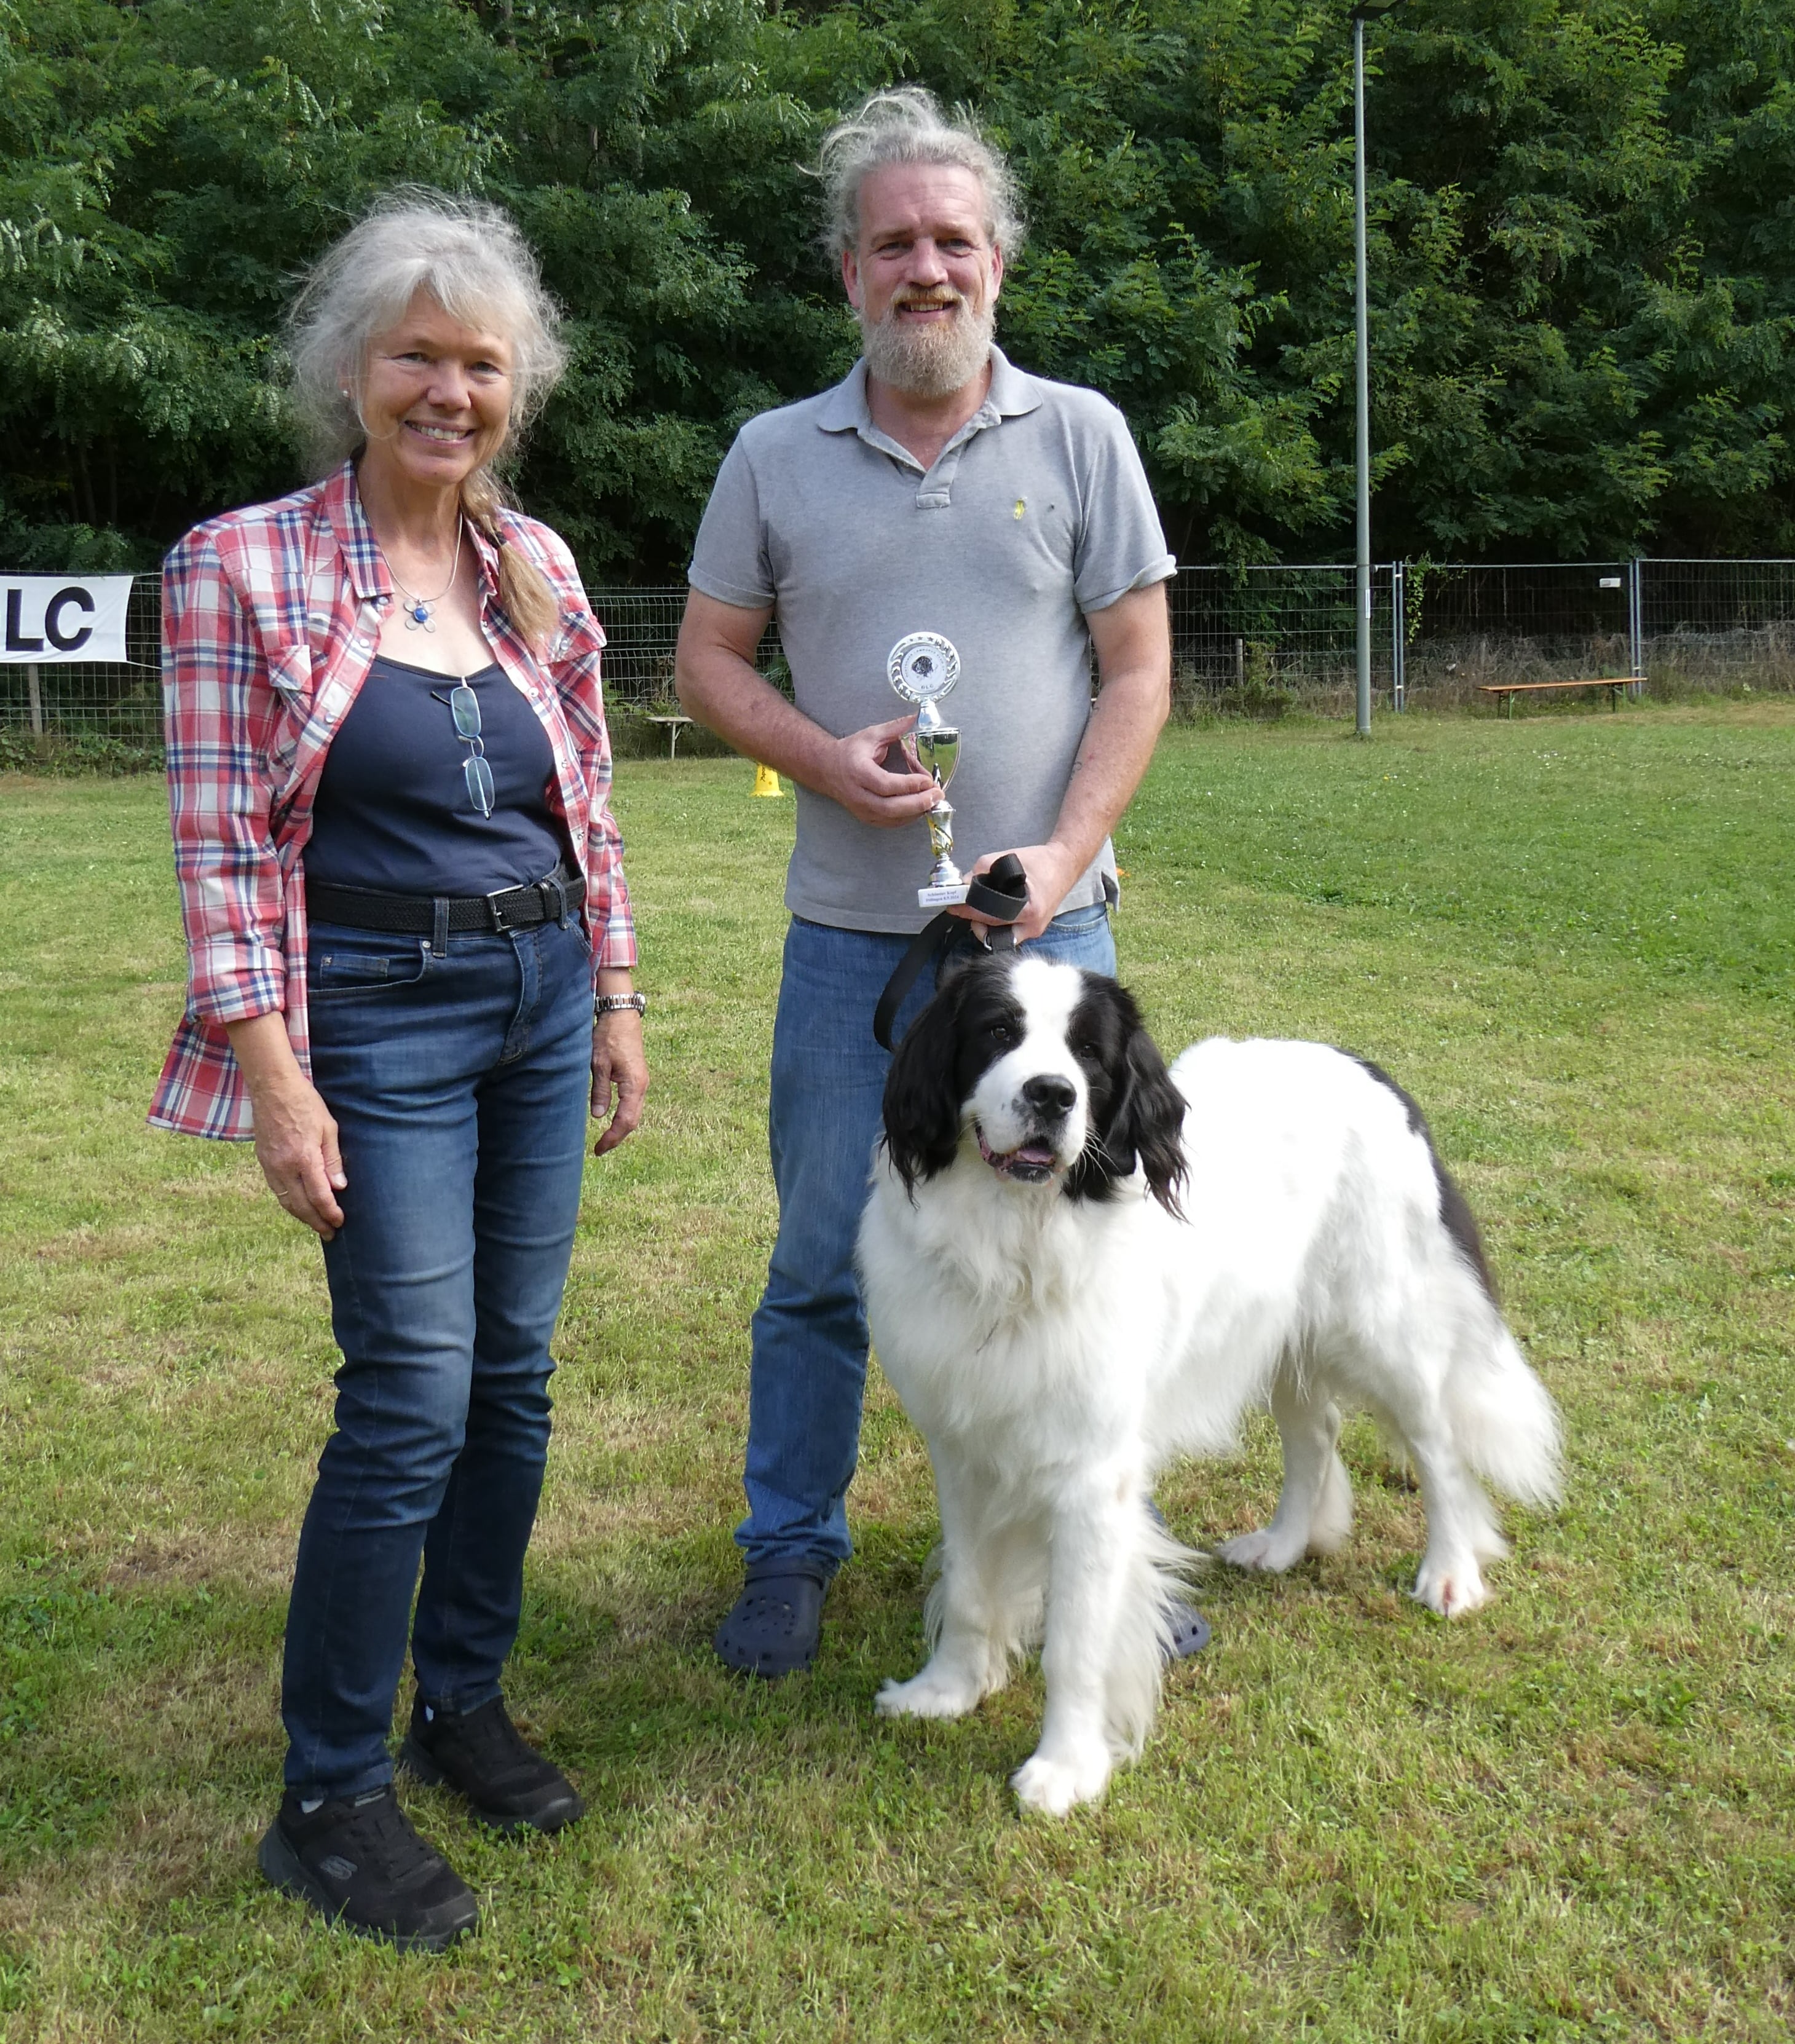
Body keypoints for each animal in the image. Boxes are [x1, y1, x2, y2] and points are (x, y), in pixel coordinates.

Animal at [858, 948, 1561, 1815]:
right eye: (997, 1032)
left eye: (1088, 1053)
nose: (1052, 1094)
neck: (1016, 1243)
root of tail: (1373, 1073)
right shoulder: (963, 1448)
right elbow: (965, 1585)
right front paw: (947, 1690)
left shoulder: (1091, 1476)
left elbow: (1078, 1639)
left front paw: (1066, 1767)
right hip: (1283, 1330)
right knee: (1317, 1433)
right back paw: (1283, 1545)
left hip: (1384, 1328)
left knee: (1440, 1449)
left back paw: (1451, 1572)